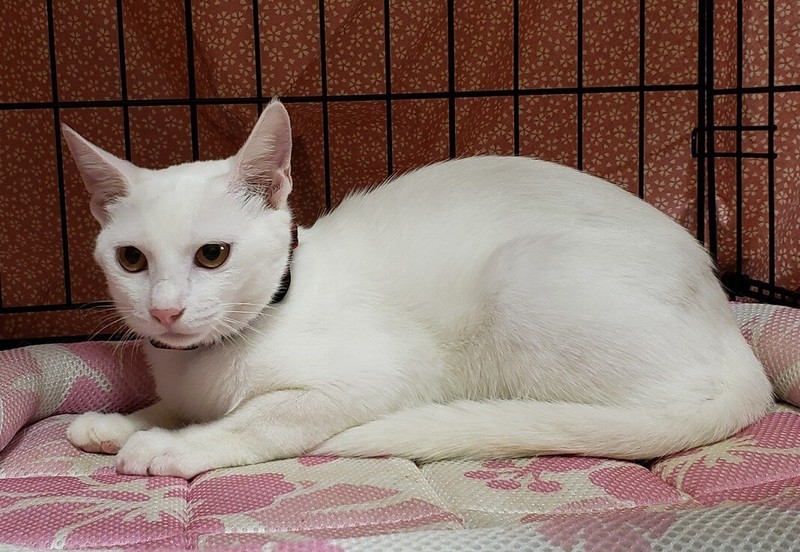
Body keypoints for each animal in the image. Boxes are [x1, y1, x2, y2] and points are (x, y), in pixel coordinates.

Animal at [62, 99, 773, 479]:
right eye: (131, 259)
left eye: (213, 255)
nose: (165, 310)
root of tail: (736, 341)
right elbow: (171, 405)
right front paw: (123, 422)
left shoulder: (374, 377)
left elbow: (260, 419)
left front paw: (171, 446)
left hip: (520, 278)